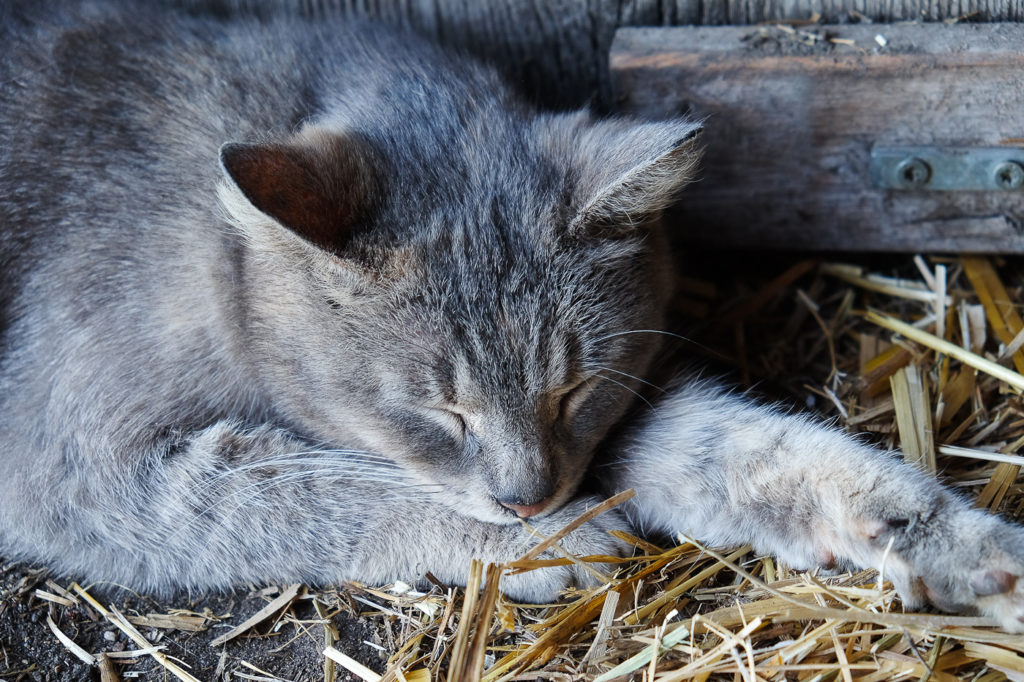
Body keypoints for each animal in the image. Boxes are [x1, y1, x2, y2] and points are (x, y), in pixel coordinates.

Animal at [0, 1, 1019, 630]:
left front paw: (940, 536)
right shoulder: (72, 466)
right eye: (437, 411)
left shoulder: (612, 420)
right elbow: (312, 489)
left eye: (574, 392)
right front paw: (538, 544)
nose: (527, 499)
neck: (222, 256)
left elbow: (759, 452)